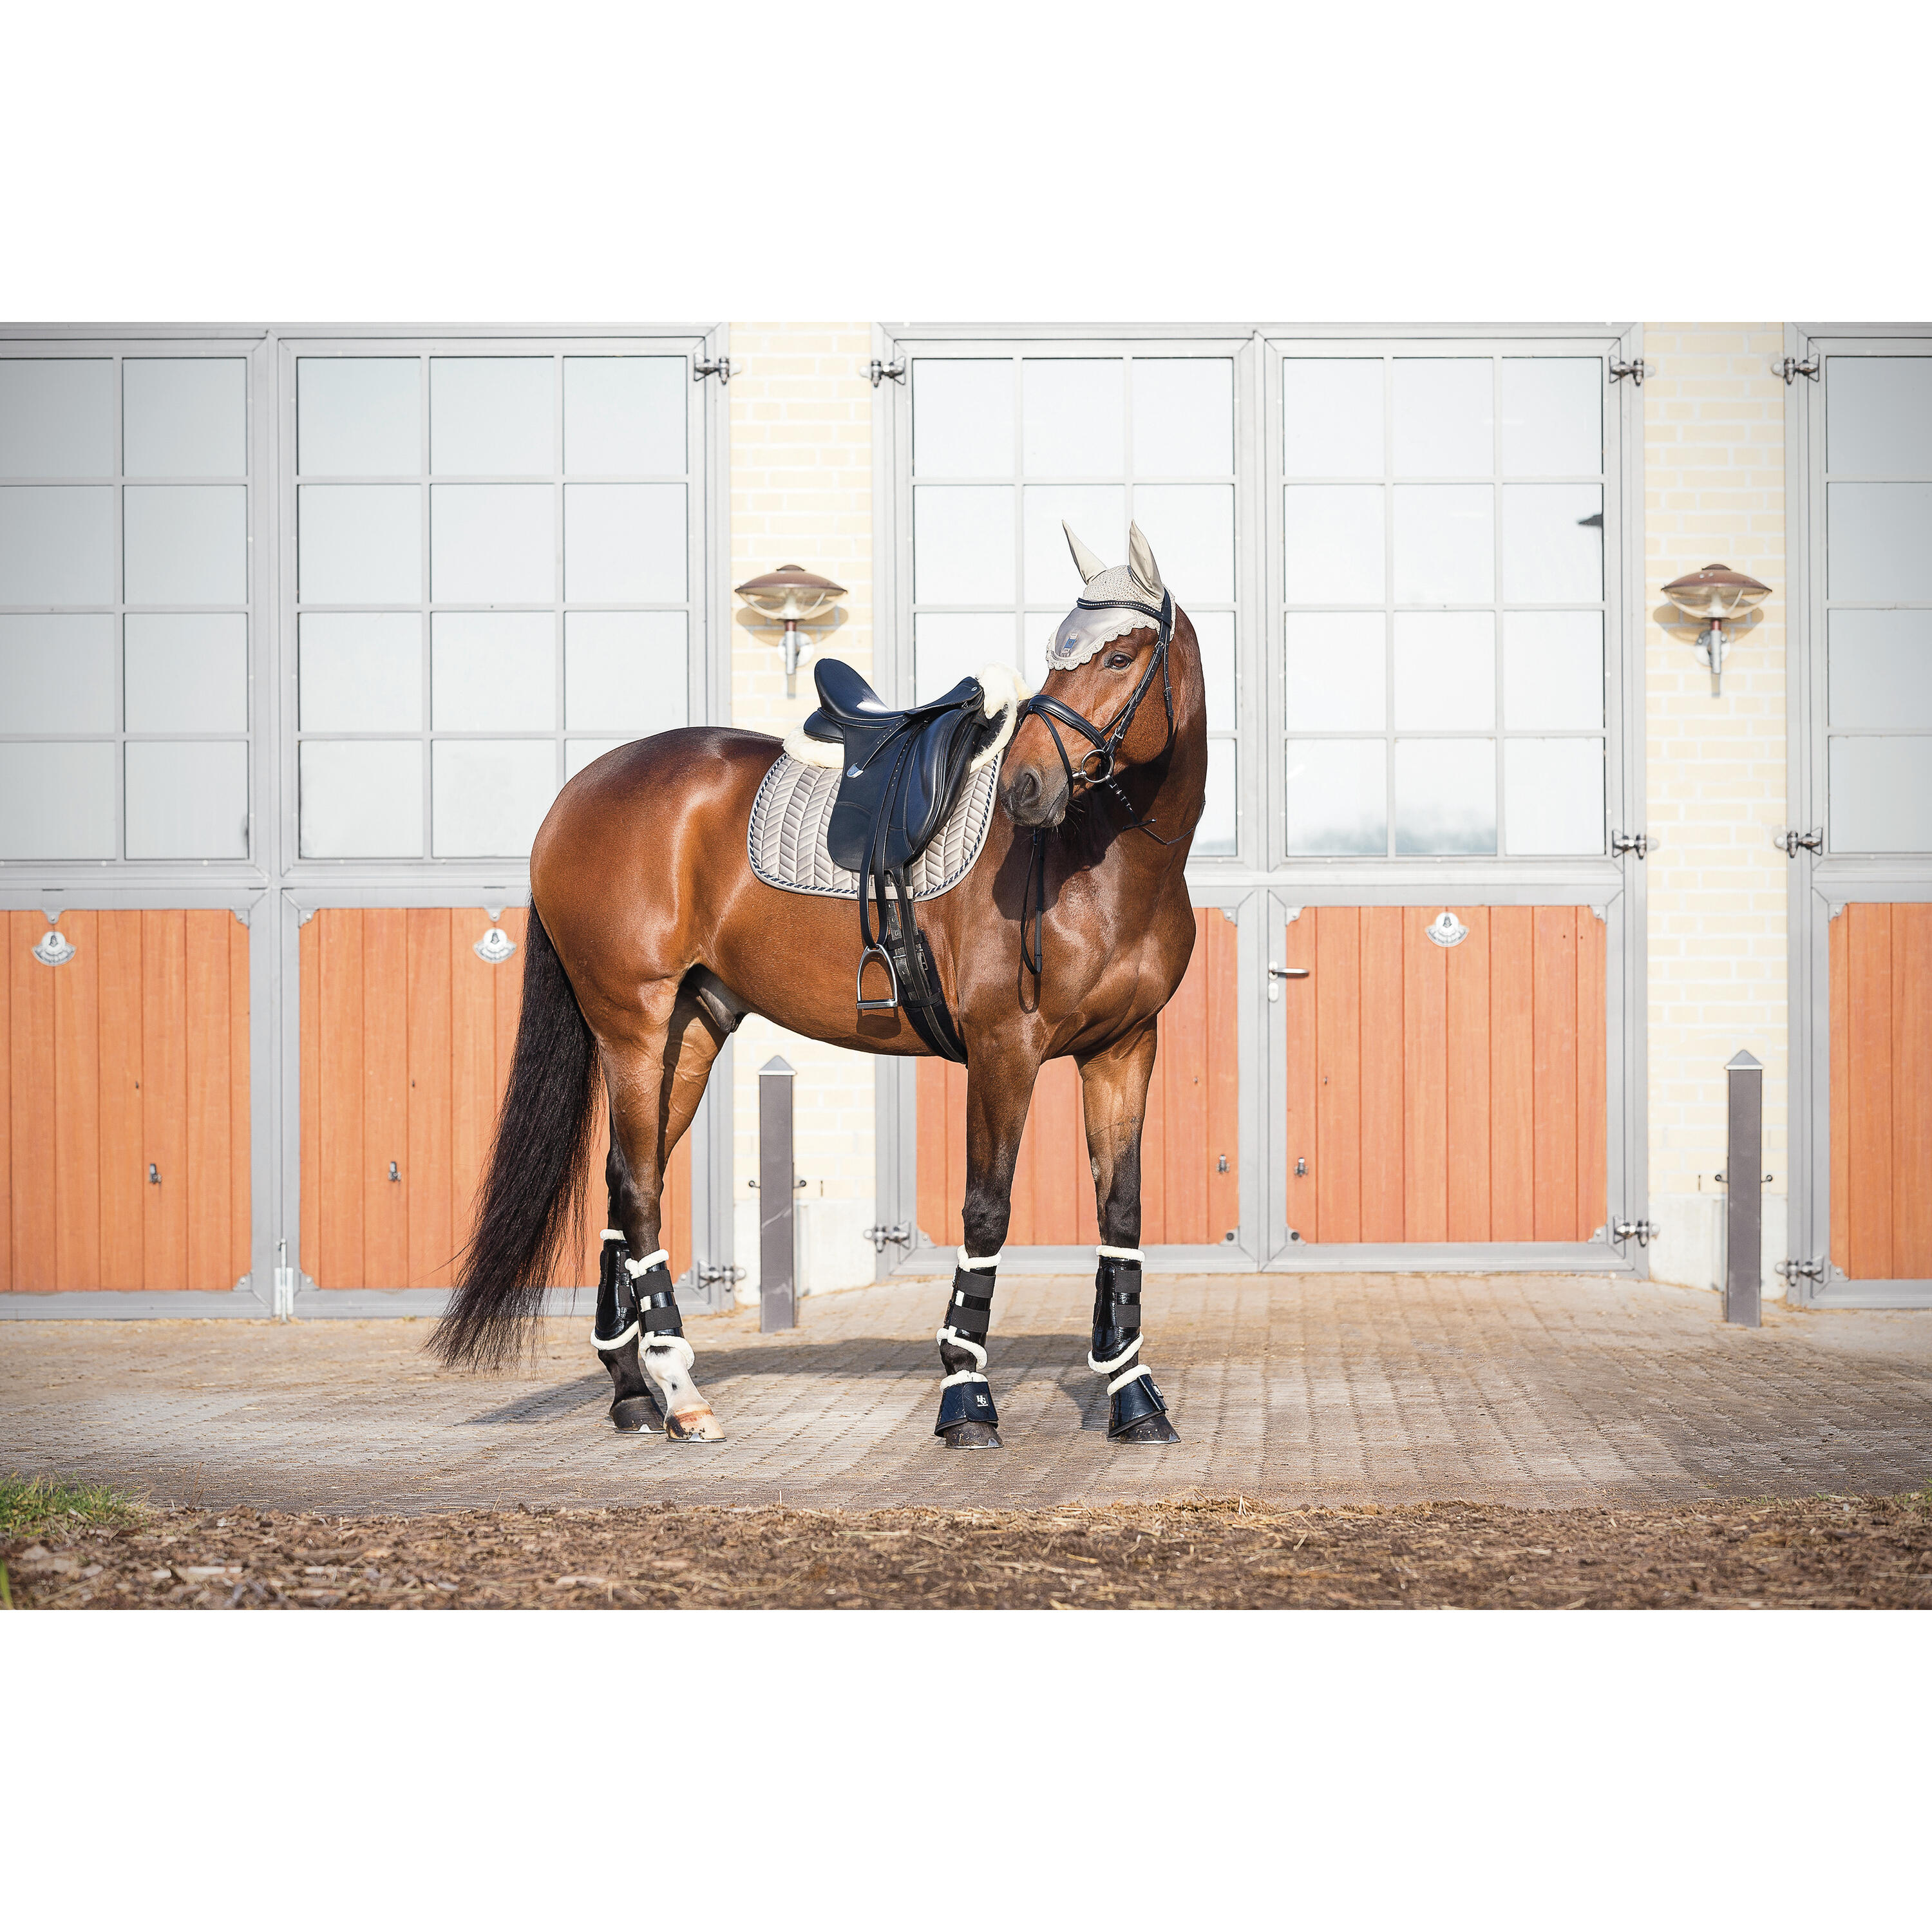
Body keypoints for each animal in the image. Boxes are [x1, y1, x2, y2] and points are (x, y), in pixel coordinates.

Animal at [431, 522, 1207, 1449]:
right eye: (1058, 659)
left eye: (1120, 655)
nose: (1027, 789)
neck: (1098, 863)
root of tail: (576, 795)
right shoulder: (1004, 1051)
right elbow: (986, 1210)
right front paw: (966, 1398)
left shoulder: (1124, 1050)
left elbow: (1121, 1213)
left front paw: (1134, 1396)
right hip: (632, 1024)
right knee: (640, 1189)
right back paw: (680, 1391)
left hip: (689, 1031)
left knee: (627, 1182)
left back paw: (632, 1391)